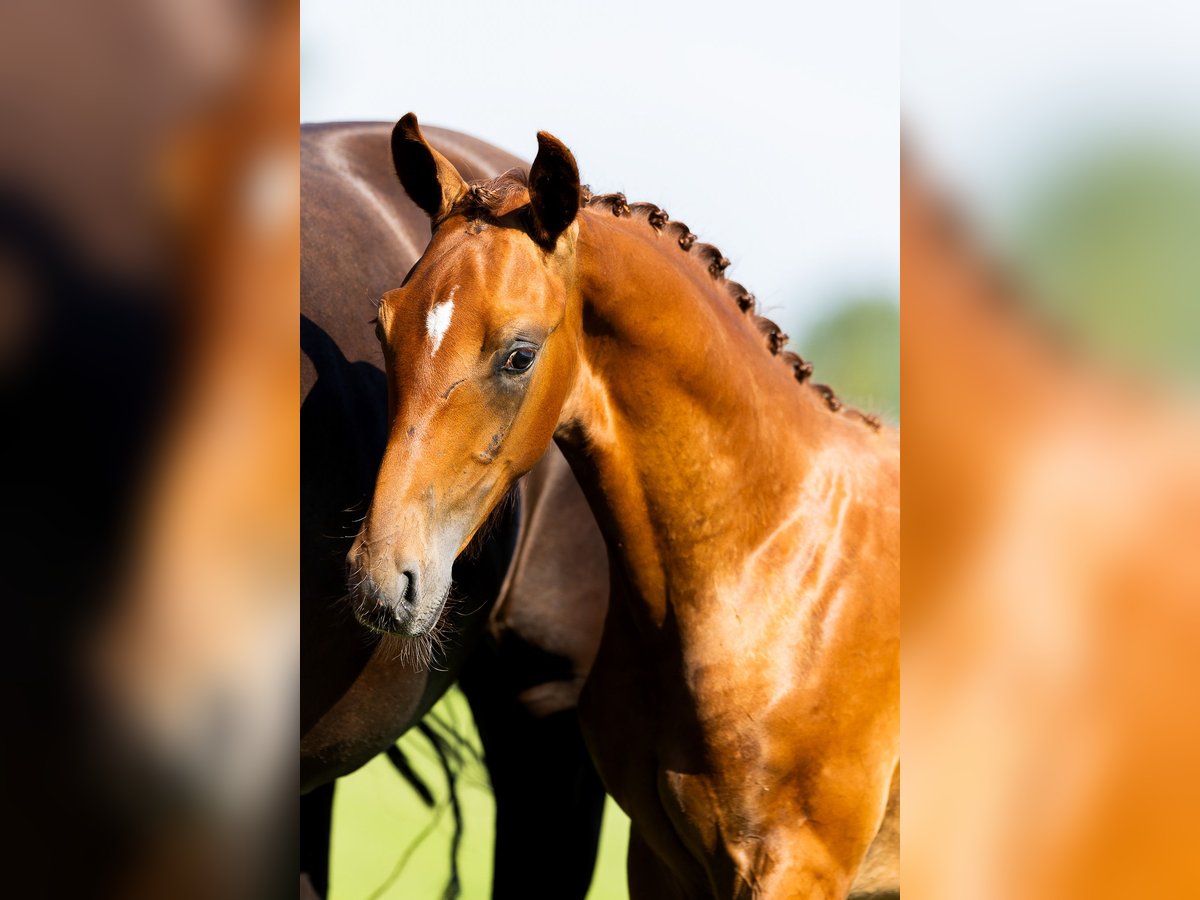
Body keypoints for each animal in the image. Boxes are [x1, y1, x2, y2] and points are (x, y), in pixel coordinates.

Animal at [355, 116, 902, 897]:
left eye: (518, 354)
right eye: (383, 326)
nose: (384, 581)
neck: (773, 557)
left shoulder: (796, 866)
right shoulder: (659, 860)